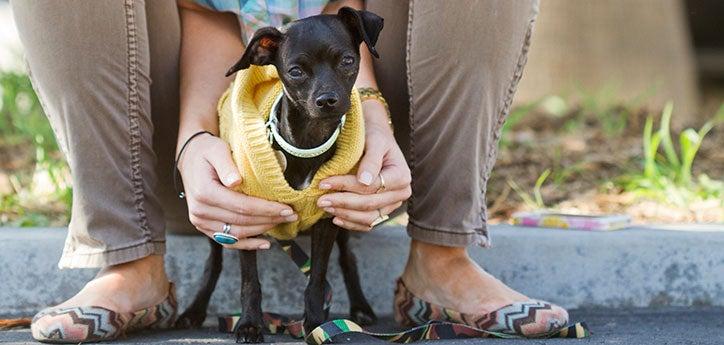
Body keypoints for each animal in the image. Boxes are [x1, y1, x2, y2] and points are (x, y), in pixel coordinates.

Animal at [175, 6, 384, 342]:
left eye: (348, 61)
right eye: (296, 71)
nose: (327, 100)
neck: (306, 143)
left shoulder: (327, 220)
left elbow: (317, 279)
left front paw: (315, 324)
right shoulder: (245, 221)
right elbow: (250, 282)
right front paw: (249, 324)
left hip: (344, 215)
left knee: (347, 258)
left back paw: (361, 307)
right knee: (213, 264)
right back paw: (193, 311)